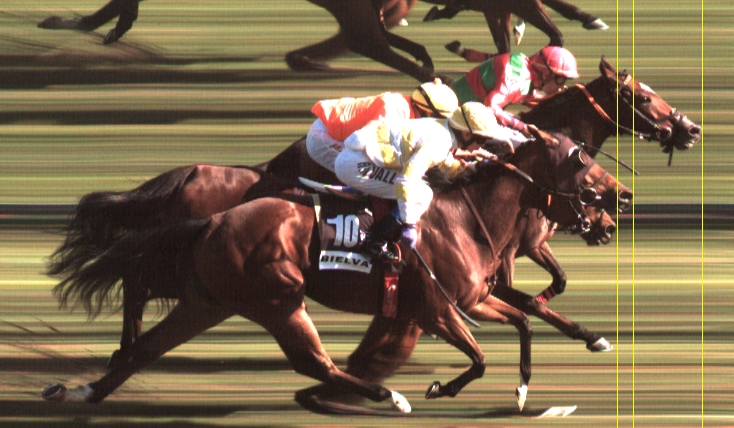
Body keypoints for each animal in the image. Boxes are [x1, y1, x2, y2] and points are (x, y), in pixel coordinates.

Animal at [43, 133, 620, 411]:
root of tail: (214, 218)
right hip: (278, 299)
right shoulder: (437, 309)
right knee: (312, 362)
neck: (467, 218)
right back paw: (387, 397)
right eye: (584, 164)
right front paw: (438, 389)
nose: (611, 214)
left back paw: (84, 392)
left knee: (146, 343)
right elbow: (480, 357)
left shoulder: (474, 297)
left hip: (208, 300)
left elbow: (523, 322)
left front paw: (525, 388)